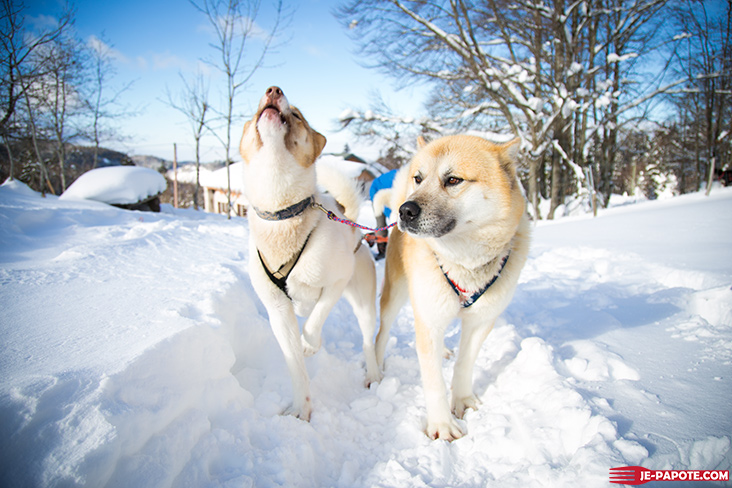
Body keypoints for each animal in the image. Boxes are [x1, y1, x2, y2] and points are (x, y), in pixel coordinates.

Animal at [240, 86, 380, 420]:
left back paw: (373, 374)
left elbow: (314, 321)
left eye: (297, 115)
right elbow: (295, 367)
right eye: (254, 113)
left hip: (364, 306)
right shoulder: (278, 311)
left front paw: (311, 345)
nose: (273, 89)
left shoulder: (335, 283)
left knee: (368, 342)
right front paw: (300, 411)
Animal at [374, 135, 528, 440]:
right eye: (418, 178)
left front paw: (463, 399)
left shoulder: (481, 322)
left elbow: (465, 363)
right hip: (394, 298)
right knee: (379, 337)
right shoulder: (428, 322)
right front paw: (442, 425)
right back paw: (375, 371)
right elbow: (434, 381)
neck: (463, 263)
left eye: (453, 180)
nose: (405, 210)